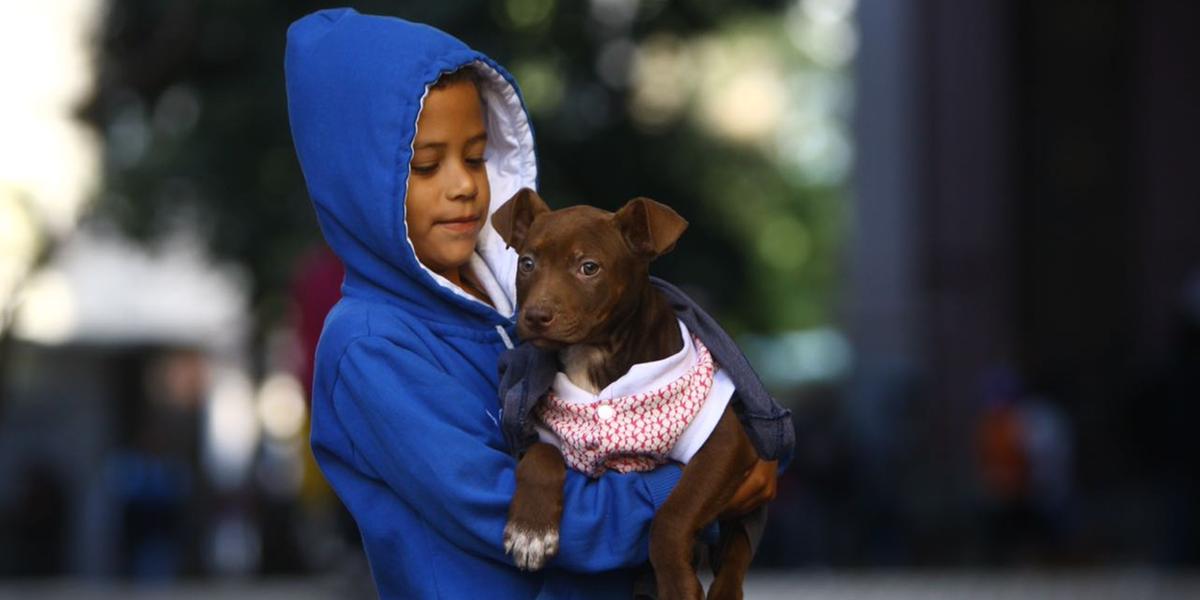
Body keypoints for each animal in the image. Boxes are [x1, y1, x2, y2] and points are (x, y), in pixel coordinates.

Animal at [494, 188, 758, 600]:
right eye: (527, 263)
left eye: (589, 267)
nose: (535, 316)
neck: (594, 358)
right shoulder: (539, 437)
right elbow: (541, 455)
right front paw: (530, 531)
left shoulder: (726, 445)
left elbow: (674, 513)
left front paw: (676, 582)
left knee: (736, 550)